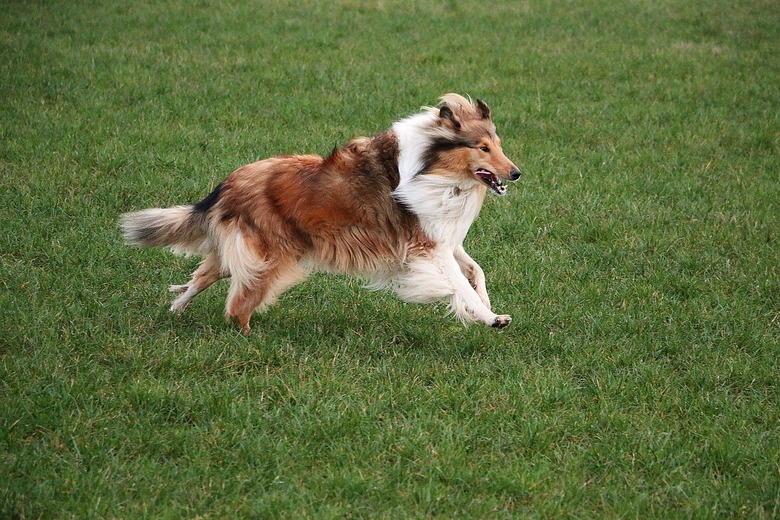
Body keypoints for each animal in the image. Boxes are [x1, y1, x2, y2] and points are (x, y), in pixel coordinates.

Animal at [122, 93, 520, 334]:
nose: (516, 173)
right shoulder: (427, 248)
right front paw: (489, 317)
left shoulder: (444, 240)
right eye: (482, 147)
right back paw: (247, 336)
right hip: (270, 257)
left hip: (246, 251)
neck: (432, 165)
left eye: (499, 145)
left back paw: (176, 307)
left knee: (205, 274)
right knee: (237, 305)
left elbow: (476, 272)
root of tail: (227, 183)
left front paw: (485, 307)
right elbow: (459, 284)